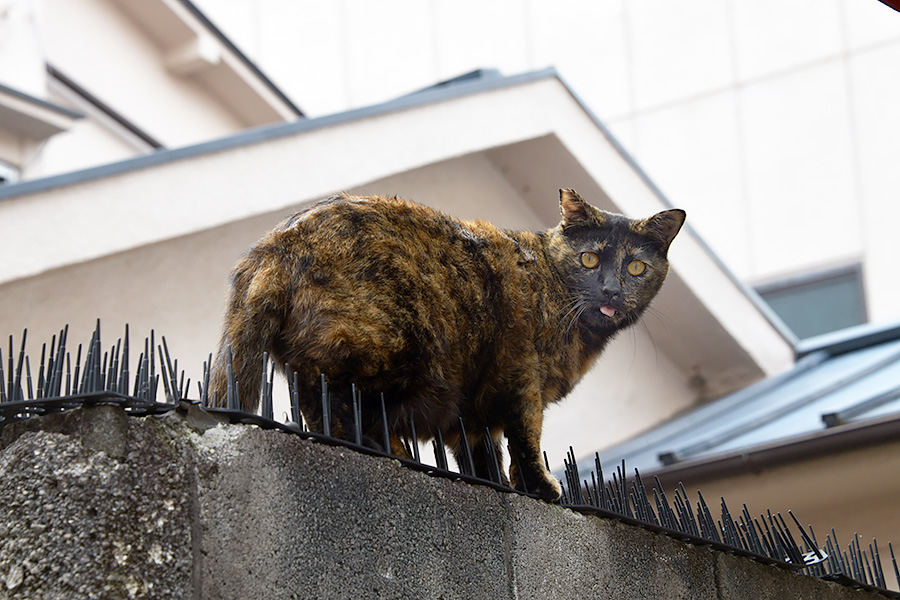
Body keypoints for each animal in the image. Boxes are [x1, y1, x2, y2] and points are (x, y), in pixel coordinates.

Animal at [211, 190, 684, 500]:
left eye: (636, 267)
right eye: (589, 259)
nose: (611, 290)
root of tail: (274, 245)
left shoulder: (472, 405)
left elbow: (482, 451)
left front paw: (497, 483)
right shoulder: (522, 378)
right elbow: (526, 439)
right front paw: (541, 487)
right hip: (387, 346)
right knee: (330, 398)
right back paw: (388, 452)